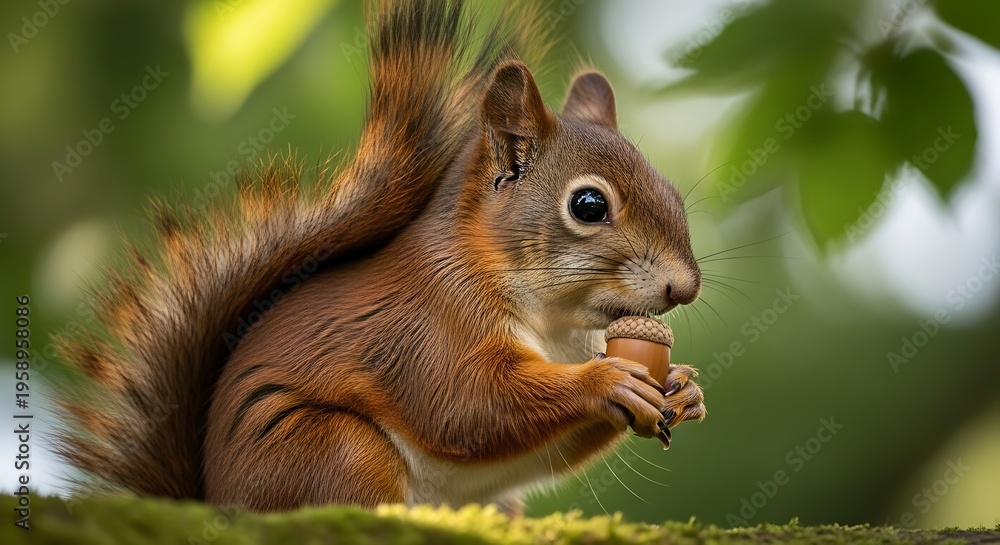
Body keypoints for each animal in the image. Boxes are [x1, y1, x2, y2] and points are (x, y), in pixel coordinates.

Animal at [54, 0, 705, 515]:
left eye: (674, 195)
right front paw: (606, 380)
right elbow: (467, 405)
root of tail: (217, 502)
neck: (556, 323)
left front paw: (681, 387)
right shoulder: (426, 330)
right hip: (334, 448)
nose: (686, 288)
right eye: (588, 205)